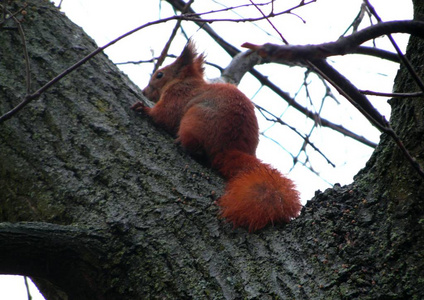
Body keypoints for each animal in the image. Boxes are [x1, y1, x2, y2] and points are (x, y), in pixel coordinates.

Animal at [132, 41, 302, 231]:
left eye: (159, 75)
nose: (145, 91)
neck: (185, 81)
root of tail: (228, 149)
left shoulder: (177, 95)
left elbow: (164, 115)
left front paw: (145, 109)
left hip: (195, 121)